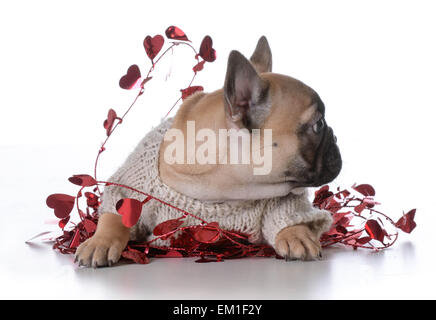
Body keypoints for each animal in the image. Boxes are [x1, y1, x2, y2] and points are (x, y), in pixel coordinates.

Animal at [74, 36, 340, 268]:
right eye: (318, 125)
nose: (335, 136)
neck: (222, 190)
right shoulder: (131, 184)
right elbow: (114, 213)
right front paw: (100, 242)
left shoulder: (284, 197)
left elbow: (289, 214)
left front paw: (297, 234)